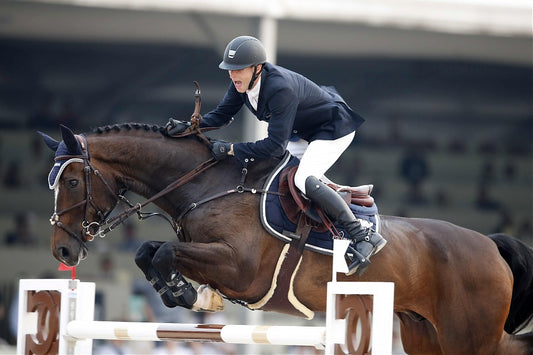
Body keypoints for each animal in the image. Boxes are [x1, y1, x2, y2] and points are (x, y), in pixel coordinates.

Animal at [38, 124, 532, 354]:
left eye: (74, 183)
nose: (62, 250)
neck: (210, 186)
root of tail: (490, 244)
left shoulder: (240, 269)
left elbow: (164, 253)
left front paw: (186, 292)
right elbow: (148, 251)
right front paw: (185, 293)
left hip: (468, 336)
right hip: (425, 334)